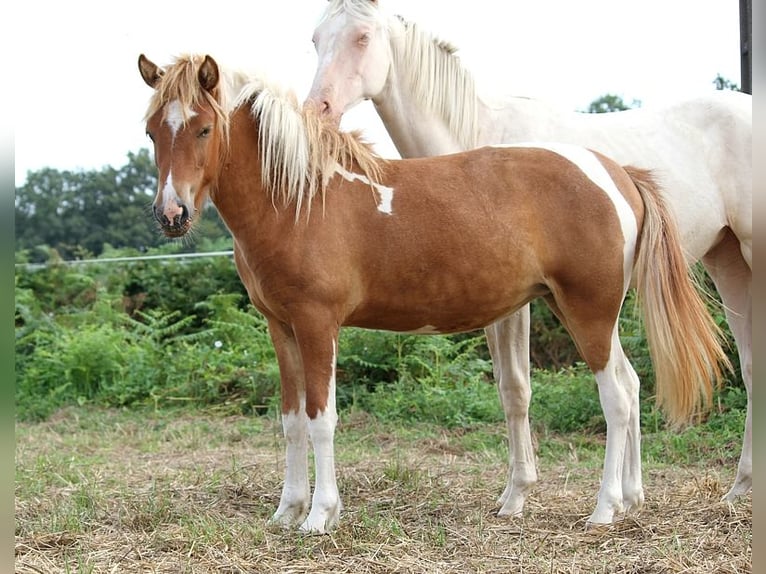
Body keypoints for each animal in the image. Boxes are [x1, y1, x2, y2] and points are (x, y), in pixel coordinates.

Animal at [140, 54, 732, 536]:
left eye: (203, 128)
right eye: (150, 131)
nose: (172, 215)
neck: (301, 197)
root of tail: (616, 173)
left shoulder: (317, 324)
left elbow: (320, 419)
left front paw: (320, 515)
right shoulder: (281, 327)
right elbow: (290, 422)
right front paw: (286, 511)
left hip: (589, 311)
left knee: (616, 397)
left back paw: (605, 508)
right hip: (586, 312)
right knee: (631, 386)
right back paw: (630, 499)